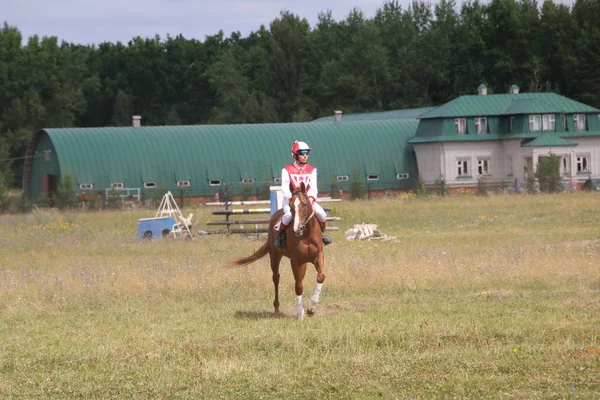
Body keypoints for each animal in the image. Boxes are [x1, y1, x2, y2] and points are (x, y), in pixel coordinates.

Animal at [227, 183, 326, 320]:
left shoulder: (317, 256)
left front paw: (311, 308)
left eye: (305, 204)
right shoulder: (296, 261)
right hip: (275, 256)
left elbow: (320, 277)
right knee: (276, 278)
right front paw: (300, 313)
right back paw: (277, 307)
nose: (297, 228)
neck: (306, 235)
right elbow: (298, 285)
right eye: (290, 205)